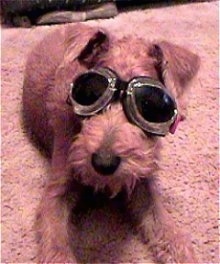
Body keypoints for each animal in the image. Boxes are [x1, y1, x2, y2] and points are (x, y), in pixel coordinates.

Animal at [22, 23, 199, 262]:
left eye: (151, 104)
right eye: (90, 91)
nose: (103, 163)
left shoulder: (141, 180)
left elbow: (166, 229)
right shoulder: (56, 192)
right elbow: (57, 248)